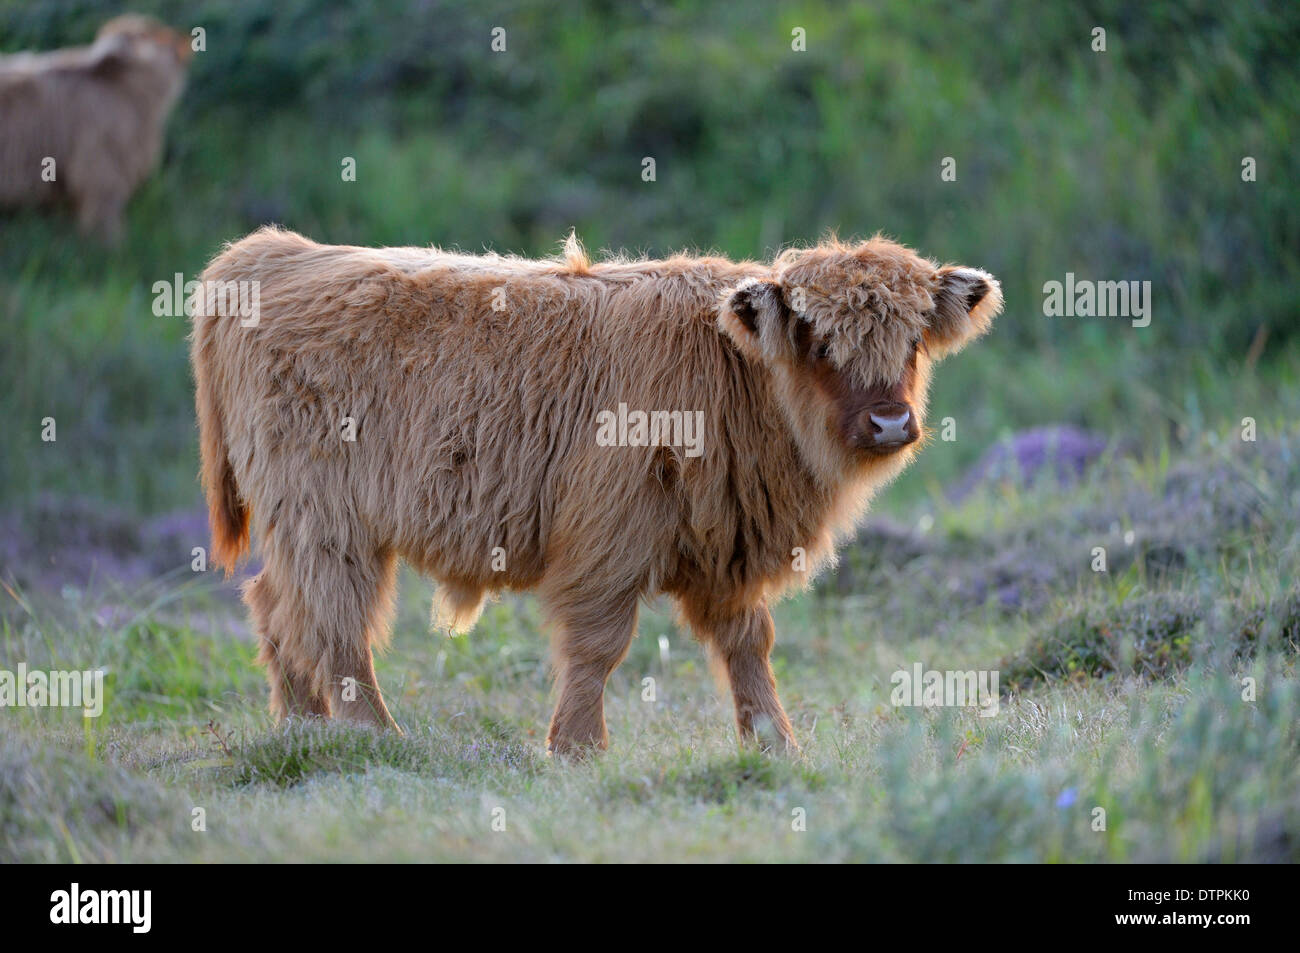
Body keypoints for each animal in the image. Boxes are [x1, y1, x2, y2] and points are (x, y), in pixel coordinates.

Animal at [189, 226, 1003, 754]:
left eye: (913, 341)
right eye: (822, 340)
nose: (891, 420)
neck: (736, 377)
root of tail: (274, 252)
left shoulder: (727, 546)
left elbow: (748, 644)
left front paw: (775, 743)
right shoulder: (609, 535)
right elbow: (598, 648)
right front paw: (578, 747)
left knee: (277, 607)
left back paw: (302, 731)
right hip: (326, 519)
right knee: (332, 621)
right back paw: (374, 737)